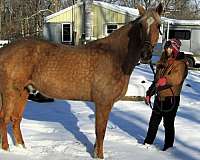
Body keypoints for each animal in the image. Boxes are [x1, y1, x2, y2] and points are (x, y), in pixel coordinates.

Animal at [0, 3, 162, 159]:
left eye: (159, 25)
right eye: (140, 25)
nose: (146, 55)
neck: (116, 56)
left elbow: (99, 133)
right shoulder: (103, 103)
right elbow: (100, 131)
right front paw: (100, 156)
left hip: (23, 91)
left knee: (16, 118)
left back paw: (21, 148)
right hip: (10, 92)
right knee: (4, 118)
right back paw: (6, 150)